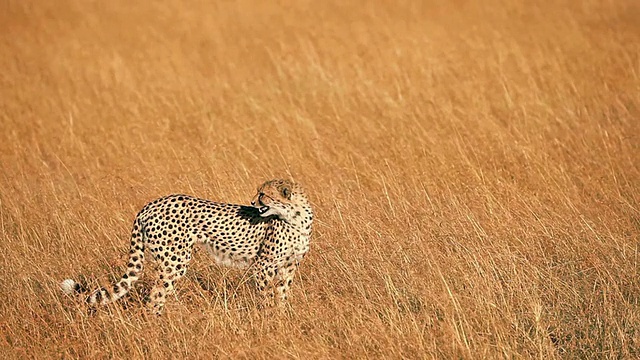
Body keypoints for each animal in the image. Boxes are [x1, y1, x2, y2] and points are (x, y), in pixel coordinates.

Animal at [60, 179, 312, 314]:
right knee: (155, 295)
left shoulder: (290, 265)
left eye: (263, 194)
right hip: (175, 261)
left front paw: (281, 316)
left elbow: (283, 292)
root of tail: (150, 204)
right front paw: (269, 316)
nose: (251, 202)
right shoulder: (264, 264)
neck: (296, 217)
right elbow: (268, 293)